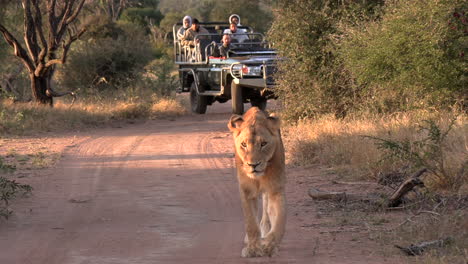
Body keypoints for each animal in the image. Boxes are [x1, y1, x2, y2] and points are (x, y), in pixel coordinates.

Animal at [227, 106, 286, 256]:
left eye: (263, 144)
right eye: (243, 144)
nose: (253, 165)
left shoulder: (276, 189)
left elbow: (280, 219)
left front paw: (270, 245)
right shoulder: (247, 190)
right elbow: (251, 223)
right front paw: (253, 248)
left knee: (266, 210)